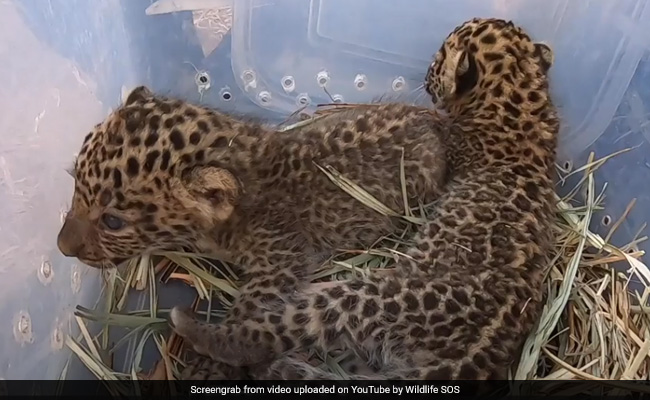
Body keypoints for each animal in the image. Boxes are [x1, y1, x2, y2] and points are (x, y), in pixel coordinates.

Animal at [56, 87, 450, 379]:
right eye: (73, 181)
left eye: (113, 222)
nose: (61, 247)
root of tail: (433, 124)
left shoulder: (278, 260)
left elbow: (249, 314)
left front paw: (206, 366)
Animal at [168, 16, 560, 380]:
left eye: (437, 60)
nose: (425, 77)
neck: (522, 100)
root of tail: (473, 354)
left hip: (367, 297)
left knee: (271, 333)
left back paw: (198, 330)